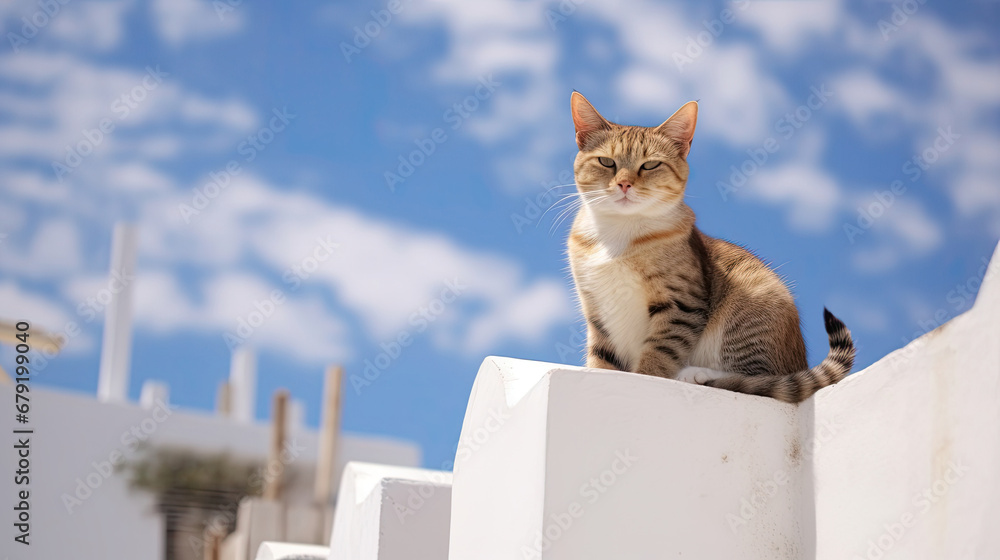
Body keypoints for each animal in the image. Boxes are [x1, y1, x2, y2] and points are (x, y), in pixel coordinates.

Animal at [568, 94, 856, 404]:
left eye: (650, 165)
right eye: (606, 161)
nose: (624, 183)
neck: (619, 233)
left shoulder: (681, 304)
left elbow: (657, 356)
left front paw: (646, 377)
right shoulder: (596, 310)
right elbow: (601, 360)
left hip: (752, 305)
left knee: (760, 380)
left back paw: (697, 373)